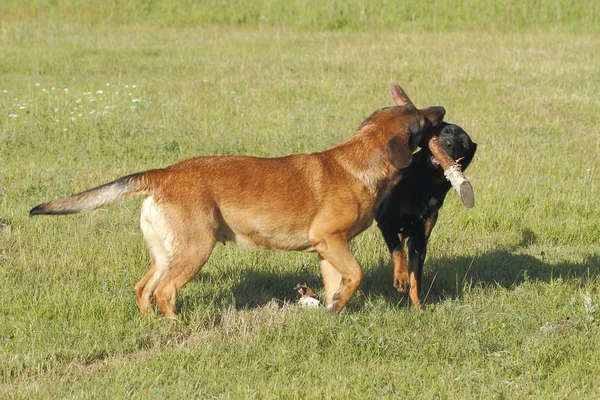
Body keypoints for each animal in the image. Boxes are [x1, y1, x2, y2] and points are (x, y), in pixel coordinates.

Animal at [30, 85, 448, 318]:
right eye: (419, 120)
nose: (443, 110)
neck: (358, 162)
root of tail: (163, 174)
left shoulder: (326, 248)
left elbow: (336, 285)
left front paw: (333, 310)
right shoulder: (331, 240)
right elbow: (357, 275)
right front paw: (339, 304)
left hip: (166, 253)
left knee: (143, 289)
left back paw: (153, 325)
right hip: (196, 249)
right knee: (165, 292)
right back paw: (179, 327)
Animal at [376, 122, 478, 310]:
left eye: (463, 144)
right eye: (446, 131)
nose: (448, 144)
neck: (427, 181)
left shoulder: (420, 238)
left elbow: (416, 277)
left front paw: (417, 308)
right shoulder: (386, 221)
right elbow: (398, 251)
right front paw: (401, 278)